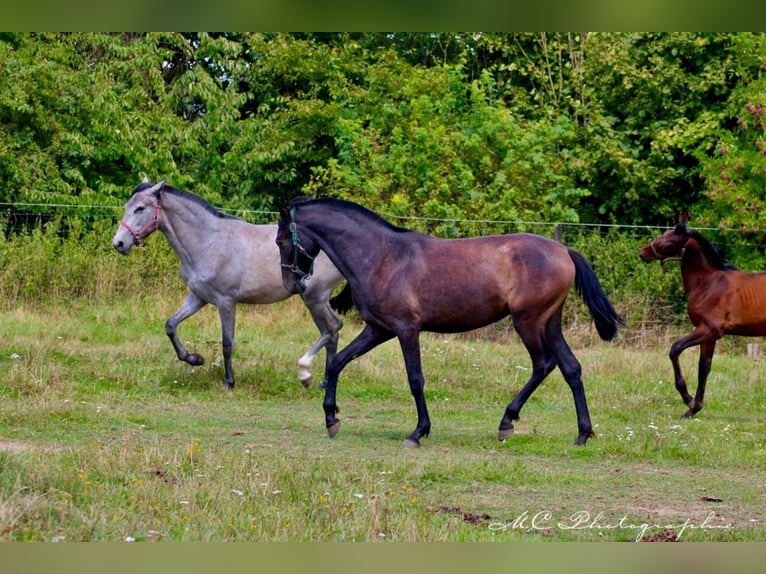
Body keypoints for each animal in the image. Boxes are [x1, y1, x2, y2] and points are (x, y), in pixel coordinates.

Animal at [112, 180, 346, 392]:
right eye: (126, 206)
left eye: (140, 208)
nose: (119, 244)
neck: (208, 242)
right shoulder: (197, 298)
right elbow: (170, 325)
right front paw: (194, 358)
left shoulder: (226, 301)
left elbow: (227, 342)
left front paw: (229, 382)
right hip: (315, 300)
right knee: (331, 332)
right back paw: (325, 382)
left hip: (314, 298)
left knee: (333, 328)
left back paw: (310, 375)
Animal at [276, 200, 624, 448]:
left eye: (281, 240)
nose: (293, 285)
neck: (383, 258)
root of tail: (563, 249)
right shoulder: (379, 329)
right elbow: (337, 362)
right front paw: (331, 419)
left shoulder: (406, 329)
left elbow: (415, 379)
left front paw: (418, 432)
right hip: (550, 323)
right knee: (571, 368)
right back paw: (582, 434)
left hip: (528, 321)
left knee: (543, 364)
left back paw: (507, 422)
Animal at [640, 215, 766, 418]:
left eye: (670, 240)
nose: (643, 253)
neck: (708, 283)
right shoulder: (709, 336)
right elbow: (704, 368)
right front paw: (694, 408)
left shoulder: (709, 329)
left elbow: (675, 349)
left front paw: (688, 399)